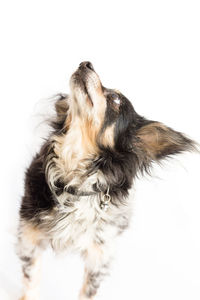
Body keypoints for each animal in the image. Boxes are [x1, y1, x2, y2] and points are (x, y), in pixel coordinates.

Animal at [16, 62, 195, 298]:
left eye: (116, 100)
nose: (86, 63)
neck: (77, 182)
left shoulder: (99, 256)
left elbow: (87, 292)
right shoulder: (30, 238)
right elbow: (31, 282)